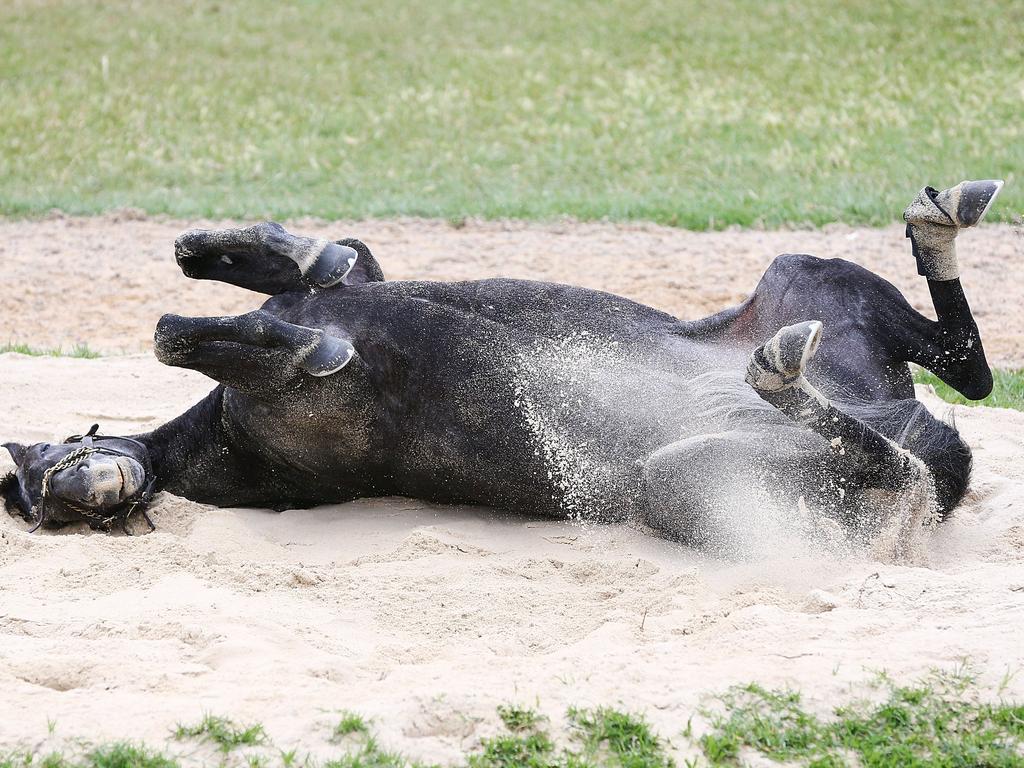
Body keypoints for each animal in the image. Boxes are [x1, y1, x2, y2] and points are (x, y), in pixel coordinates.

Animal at [0, 180, 1003, 552]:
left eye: (46, 466)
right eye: (43, 498)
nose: (80, 488)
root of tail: (938, 452)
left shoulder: (356, 288)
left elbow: (293, 273)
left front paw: (273, 254)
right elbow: (178, 331)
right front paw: (308, 337)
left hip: (805, 278)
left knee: (971, 369)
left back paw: (939, 223)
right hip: (690, 480)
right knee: (907, 463)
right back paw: (787, 380)